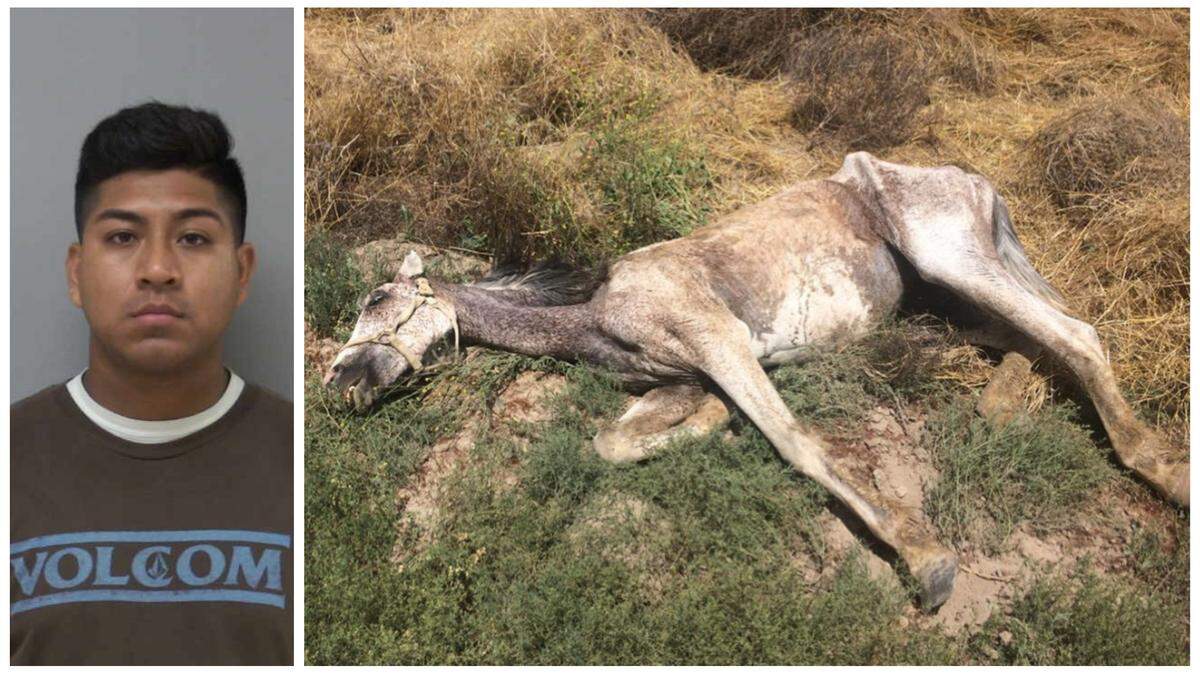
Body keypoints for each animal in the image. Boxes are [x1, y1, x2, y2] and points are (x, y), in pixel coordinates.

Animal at [323, 151, 1189, 609]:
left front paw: (924, 559)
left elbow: (798, 443)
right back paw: (1007, 404)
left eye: (378, 300)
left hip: (951, 259)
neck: (596, 308)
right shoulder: (684, 374)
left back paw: (1163, 470)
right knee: (1031, 340)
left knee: (1075, 334)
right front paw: (707, 428)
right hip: (949, 303)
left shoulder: (722, 341)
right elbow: (613, 442)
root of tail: (968, 180)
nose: (340, 384)